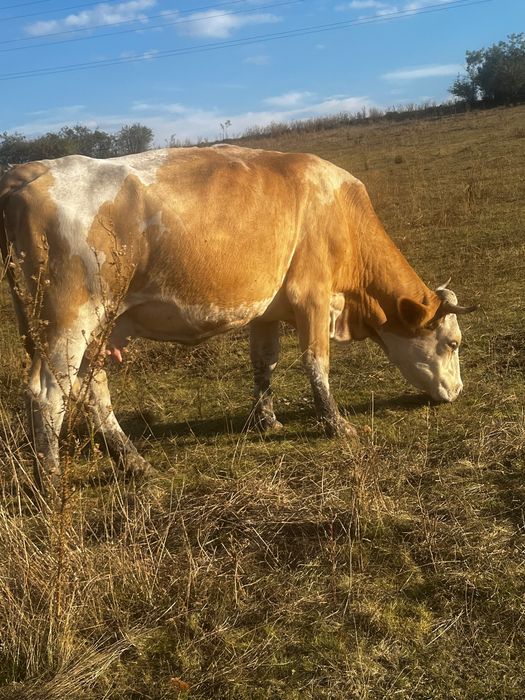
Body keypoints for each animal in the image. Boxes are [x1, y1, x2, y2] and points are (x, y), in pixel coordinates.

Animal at [0, 145, 475, 490]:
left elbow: (264, 363)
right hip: (68, 323)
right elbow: (316, 363)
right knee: (47, 394)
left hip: (97, 327)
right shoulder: (313, 297)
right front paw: (336, 423)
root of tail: (29, 171)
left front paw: (267, 419)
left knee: (91, 389)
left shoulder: (266, 310)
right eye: (452, 343)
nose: (457, 391)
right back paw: (51, 480)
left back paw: (134, 463)